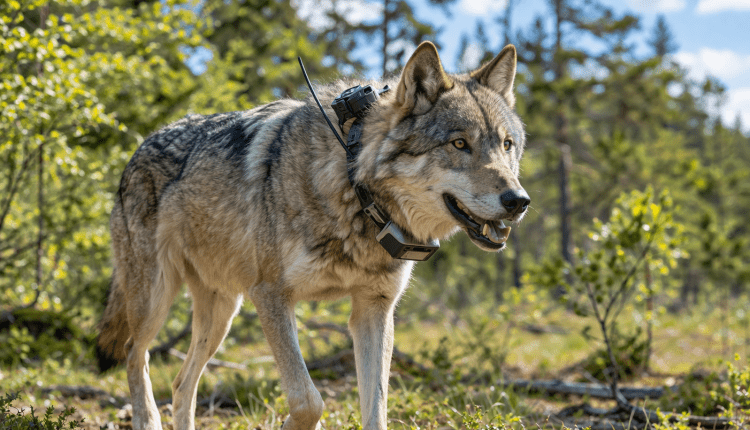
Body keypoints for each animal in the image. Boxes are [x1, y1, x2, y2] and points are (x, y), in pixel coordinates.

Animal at [96, 41, 530, 430]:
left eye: (506, 145)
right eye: (460, 143)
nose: (518, 201)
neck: (354, 185)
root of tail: (139, 147)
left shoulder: (374, 310)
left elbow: (376, 409)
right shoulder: (271, 295)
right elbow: (308, 401)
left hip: (222, 314)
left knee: (181, 383)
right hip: (156, 299)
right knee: (136, 356)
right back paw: (145, 416)